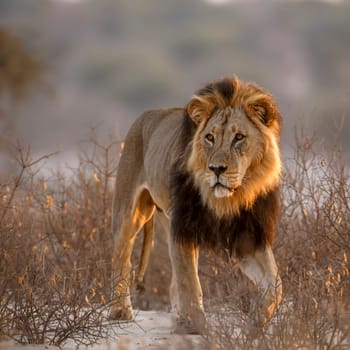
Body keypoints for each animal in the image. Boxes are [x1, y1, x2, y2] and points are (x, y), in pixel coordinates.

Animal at [110, 75, 284, 332]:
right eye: (209, 137)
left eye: (239, 137)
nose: (217, 169)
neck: (228, 199)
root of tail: (146, 114)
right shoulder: (183, 229)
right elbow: (189, 283)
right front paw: (196, 328)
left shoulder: (248, 237)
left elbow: (275, 284)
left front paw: (255, 324)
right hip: (130, 212)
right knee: (121, 257)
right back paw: (120, 311)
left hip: (166, 217)